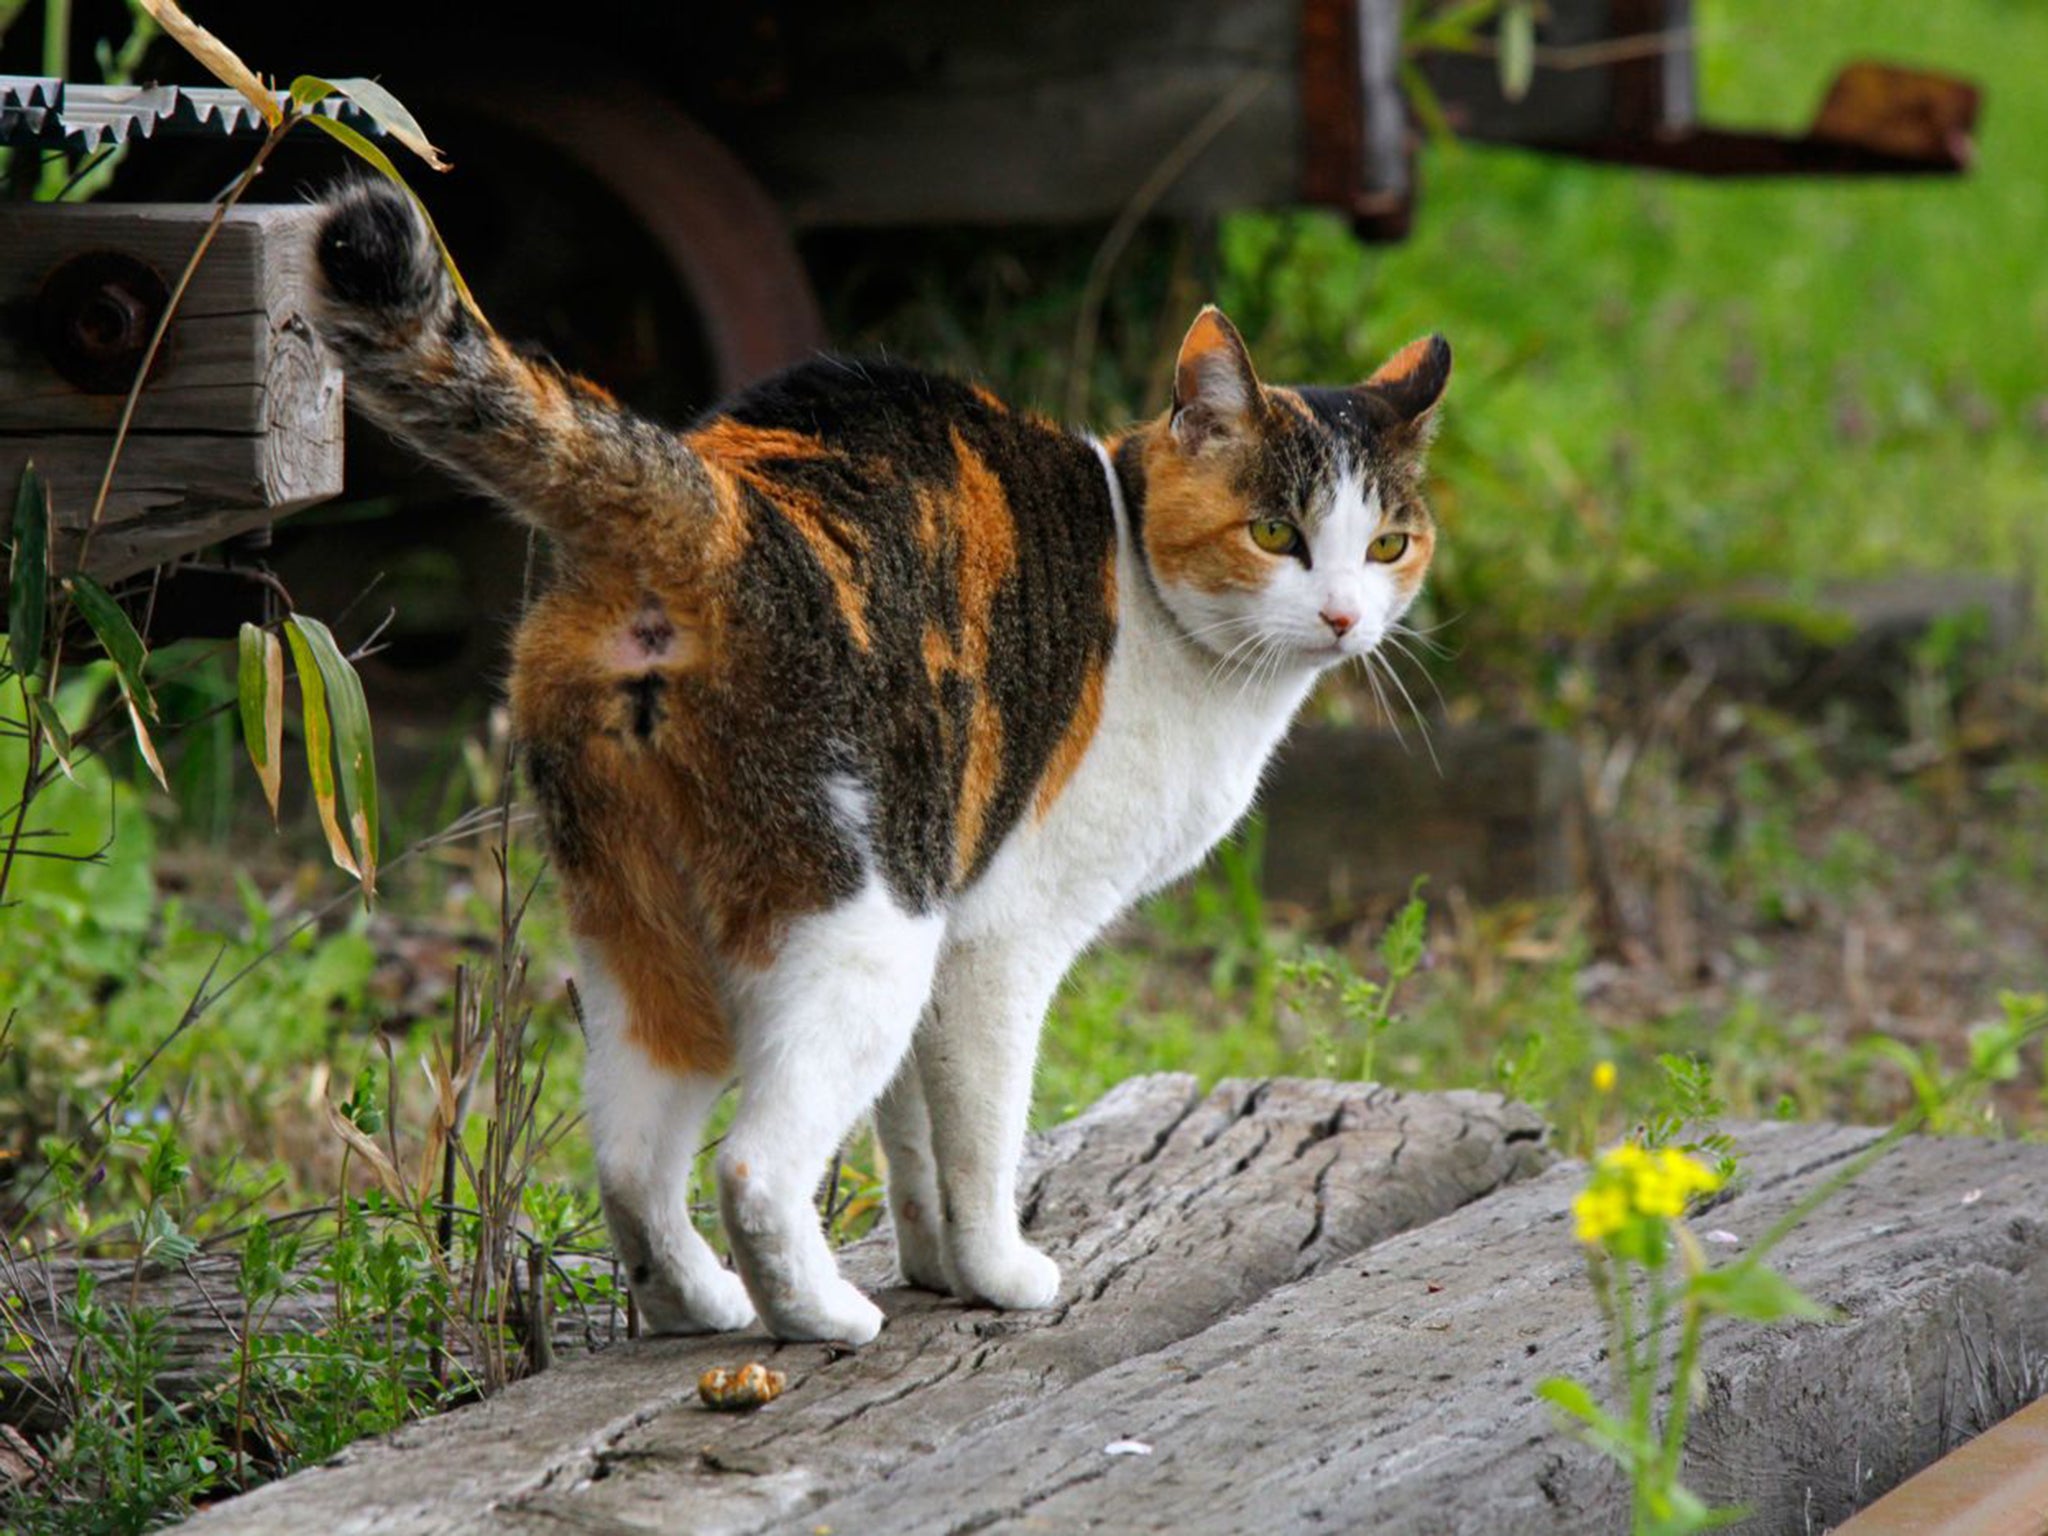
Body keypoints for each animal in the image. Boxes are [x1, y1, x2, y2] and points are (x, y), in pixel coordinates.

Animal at [311, 180, 1449, 1343]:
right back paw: (824, 1317)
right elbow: (979, 1137)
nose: (1344, 617)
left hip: (639, 923)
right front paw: (997, 1273)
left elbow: (912, 1141)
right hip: (865, 922)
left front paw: (935, 1265)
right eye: (1273, 534)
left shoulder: (950, 926)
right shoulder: (993, 941)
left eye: (1388, 546)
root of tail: (721, 505)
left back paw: (701, 1306)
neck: (1151, 599)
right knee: (753, 1165)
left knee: (630, 1157)